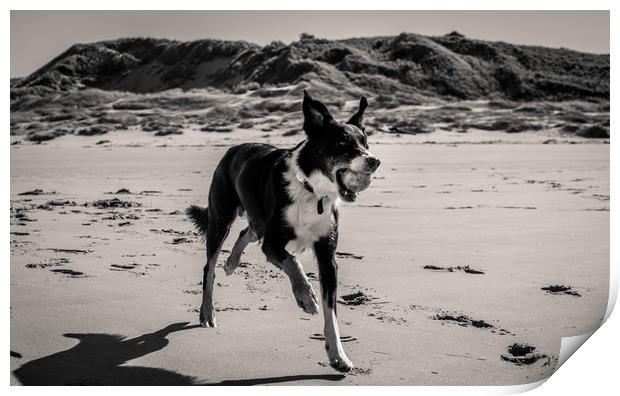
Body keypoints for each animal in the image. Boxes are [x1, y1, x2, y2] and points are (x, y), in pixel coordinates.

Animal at [185, 90, 378, 372]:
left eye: (365, 142)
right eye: (343, 143)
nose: (374, 161)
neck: (312, 191)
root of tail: (233, 148)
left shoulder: (327, 256)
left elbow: (331, 313)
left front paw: (338, 356)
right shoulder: (273, 243)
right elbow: (293, 262)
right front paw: (306, 297)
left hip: (257, 219)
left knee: (247, 233)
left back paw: (231, 263)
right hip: (220, 219)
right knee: (209, 269)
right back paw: (207, 312)